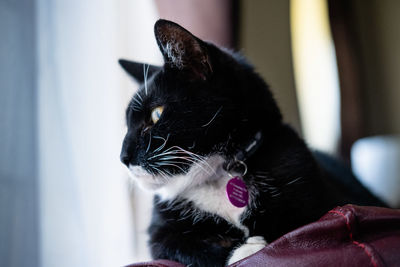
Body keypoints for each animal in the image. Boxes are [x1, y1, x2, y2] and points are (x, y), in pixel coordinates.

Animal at [119, 19, 384, 266]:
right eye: (127, 124)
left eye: (156, 114)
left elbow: (292, 226)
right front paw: (244, 250)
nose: (123, 158)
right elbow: (182, 246)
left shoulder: (318, 197)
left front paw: (252, 247)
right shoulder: (159, 234)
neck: (219, 174)